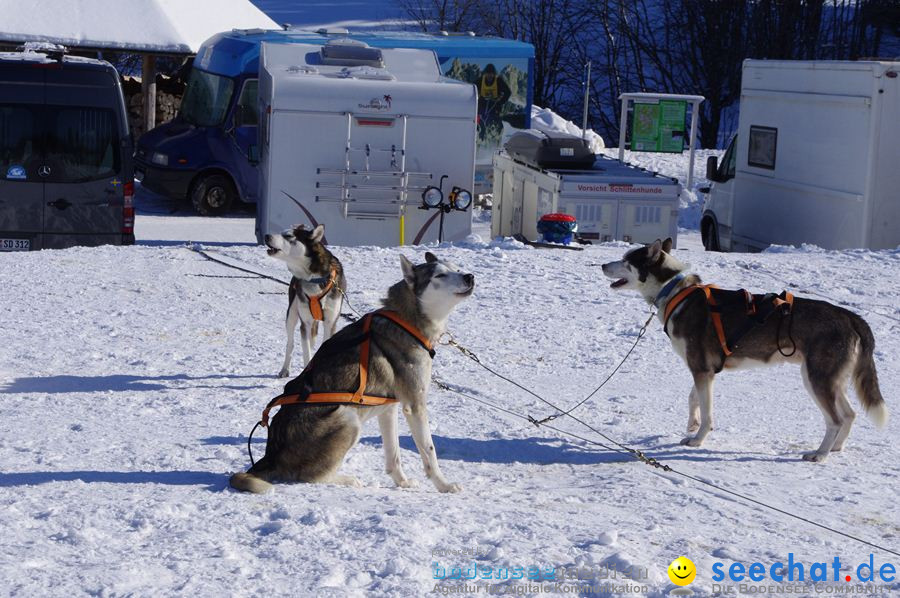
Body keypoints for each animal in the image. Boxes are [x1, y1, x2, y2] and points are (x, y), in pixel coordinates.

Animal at [229, 251, 474, 494]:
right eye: (440, 275)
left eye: (457, 268)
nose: (469, 276)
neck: (406, 320)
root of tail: (271, 455)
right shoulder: (415, 405)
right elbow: (430, 451)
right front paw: (444, 485)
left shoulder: (389, 409)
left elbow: (393, 455)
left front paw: (402, 482)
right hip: (348, 418)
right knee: (312, 476)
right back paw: (347, 479)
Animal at [266, 225, 346, 380]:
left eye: (289, 236)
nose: (266, 235)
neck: (314, 278)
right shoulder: (306, 324)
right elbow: (306, 354)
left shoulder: (330, 322)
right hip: (291, 315)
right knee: (290, 343)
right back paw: (285, 369)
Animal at [600, 239, 888, 464]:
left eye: (626, 260)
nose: (602, 265)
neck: (674, 291)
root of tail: (850, 316)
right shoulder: (704, 370)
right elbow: (694, 399)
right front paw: (692, 425)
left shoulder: (701, 368)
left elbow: (707, 412)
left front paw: (698, 439)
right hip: (830, 380)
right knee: (849, 414)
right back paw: (837, 447)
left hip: (816, 379)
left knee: (836, 419)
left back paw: (820, 454)